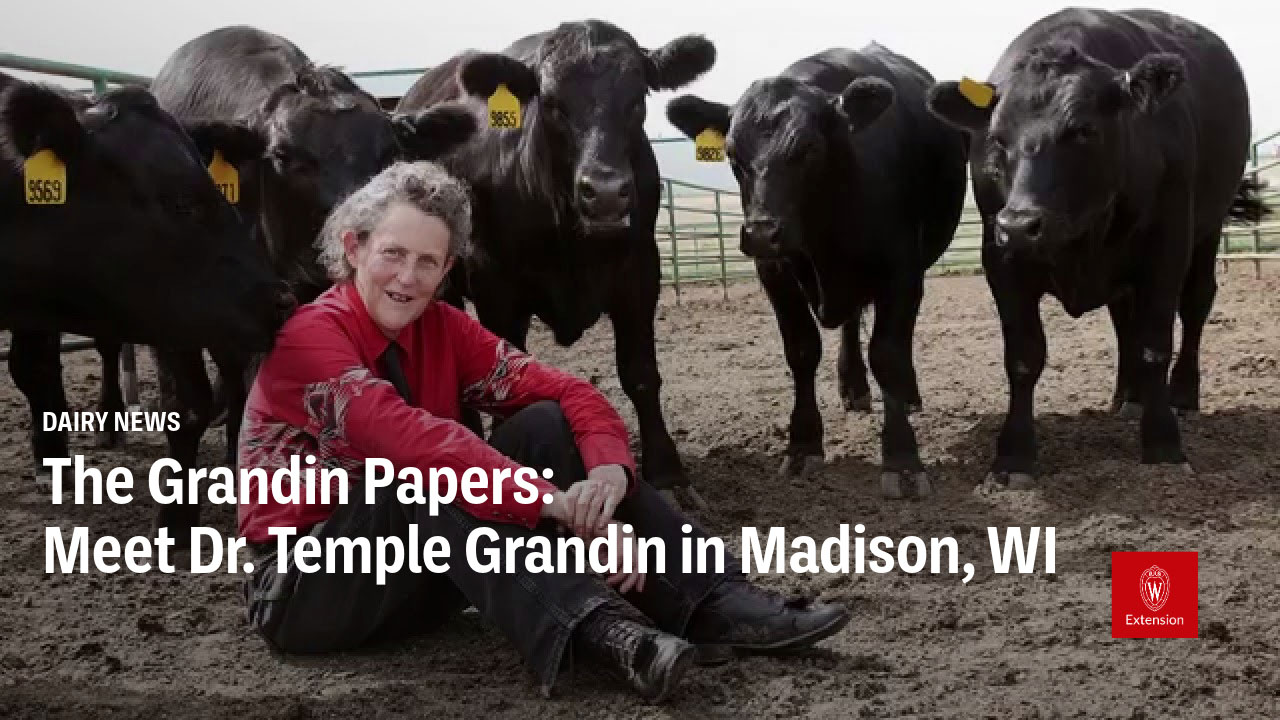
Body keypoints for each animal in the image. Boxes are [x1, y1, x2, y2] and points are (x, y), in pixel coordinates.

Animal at [396, 20, 716, 504]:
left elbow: (641, 373)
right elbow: (504, 374)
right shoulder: (496, 286)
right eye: (551, 103)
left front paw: (667, 471)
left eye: (637, 97)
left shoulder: (640, 269)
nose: (605, 193)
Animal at [665, 43, 962, 491]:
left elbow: (889, 353)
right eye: (732, 154)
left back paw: (907, 396)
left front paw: (902, 458)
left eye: (807, 149)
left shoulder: (901, 270)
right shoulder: (776, 273)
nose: (761, 233)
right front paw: (803, 445)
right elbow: (802, 351)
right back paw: (853, 387)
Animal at [931, 8, 1269, 484]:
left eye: (1083, 130)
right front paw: (1013, 456)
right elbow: (1023, 356)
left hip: (1206, 230)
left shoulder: (1166, 247)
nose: (1019, 224)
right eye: (997, 137)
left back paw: (1183, 395)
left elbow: (1154, 344)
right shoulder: (1000, 259)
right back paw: (1128, 398)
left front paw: (1163, 444)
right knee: (1123, 318)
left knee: (1196, 305)